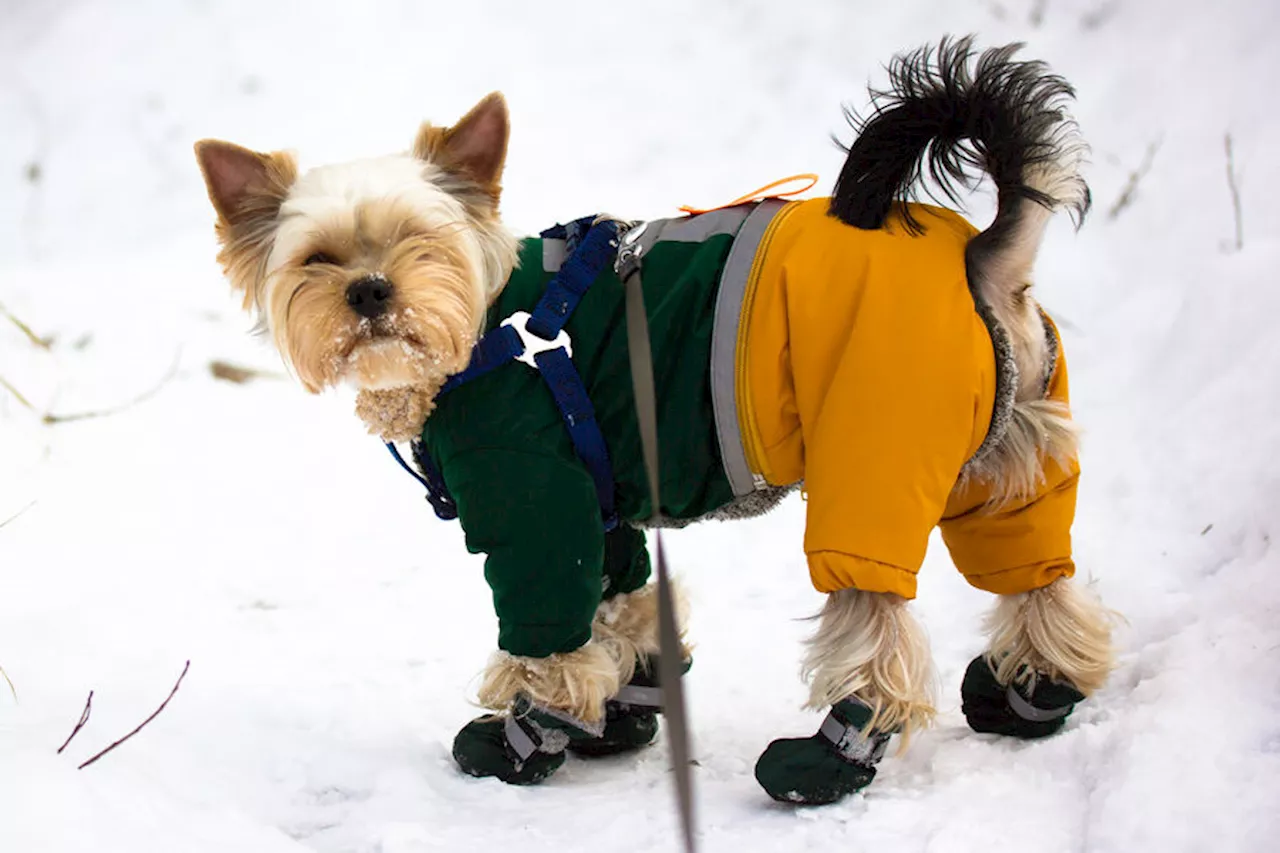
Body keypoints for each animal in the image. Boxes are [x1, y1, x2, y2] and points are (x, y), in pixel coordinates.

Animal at [194, 34, 1116, 804]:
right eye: (318, 259)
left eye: (421, 240)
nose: (371, 291)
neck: (486, 328)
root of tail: (979, 258)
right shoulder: (599, 506)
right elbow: (623, 601)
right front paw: (622, 711)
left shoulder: (535, 502)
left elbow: (549, 628)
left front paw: (530, 733)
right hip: (1010, 458)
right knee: (1042, 577)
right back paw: (1034, 692)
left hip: (874, 459)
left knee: (876, 628)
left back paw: (827, 759)